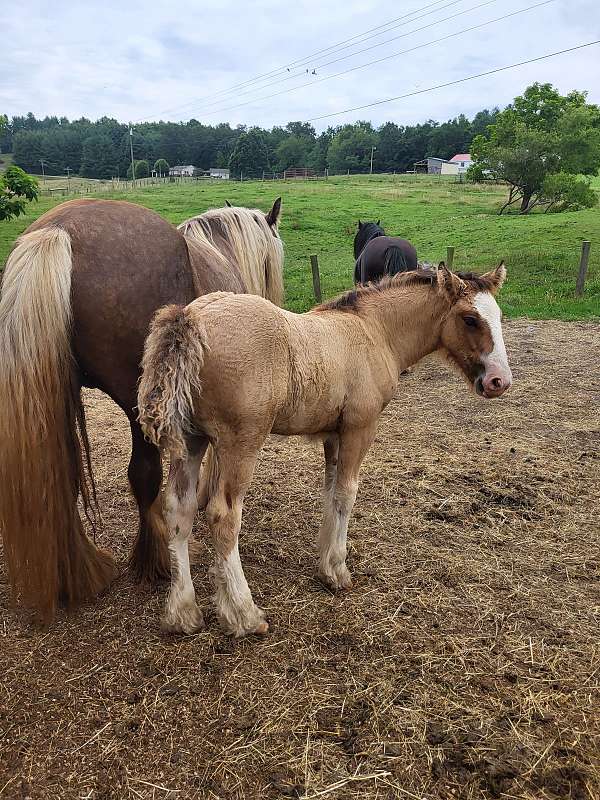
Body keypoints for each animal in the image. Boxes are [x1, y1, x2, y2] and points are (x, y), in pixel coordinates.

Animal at [0, 197, 284, 620]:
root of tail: (57, 232)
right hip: (141, 406)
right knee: (144, 476)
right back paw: (158, 560)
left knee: (61, 478)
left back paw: (78, 576)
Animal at [138, 262, 512, 636]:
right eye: (470, 319)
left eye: (498, 315)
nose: (499, 381)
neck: (374, 331)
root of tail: (190, 316)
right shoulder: (360, 428)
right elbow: (347, 494)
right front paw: (337, 570)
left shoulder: (334, 434)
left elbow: (330, 491)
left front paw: (324, 564)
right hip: (240, 441)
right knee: (223, 514)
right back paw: (244, 614)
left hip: (191, 440)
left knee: (178, 509)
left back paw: (182, 613)